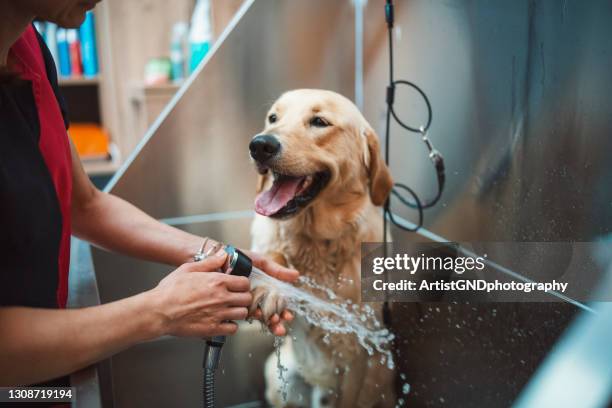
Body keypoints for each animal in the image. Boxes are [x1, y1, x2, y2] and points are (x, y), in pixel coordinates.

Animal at [249, 90, 396, 408]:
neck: (316, 240)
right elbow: (273, 257)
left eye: (319, 122)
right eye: (273, 118)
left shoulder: (356, 354)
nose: (259, 145)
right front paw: (270, 287)